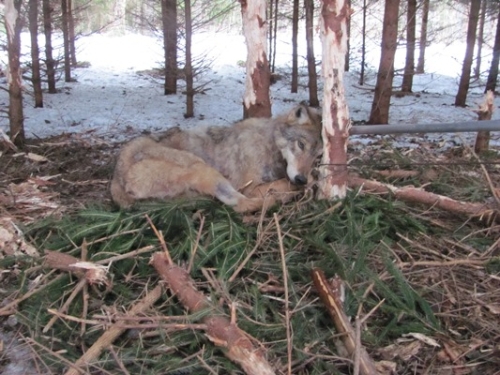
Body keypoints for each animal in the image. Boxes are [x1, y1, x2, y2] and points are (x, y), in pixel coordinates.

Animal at [111, 104, 322, 213]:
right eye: (301, 145)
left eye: (318, 156)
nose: (301, 178)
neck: (269, 143)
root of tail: (117, 177)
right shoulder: (249, 186)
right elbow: (284, 183)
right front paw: (304, 186)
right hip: (202, 169)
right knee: (241, 205)